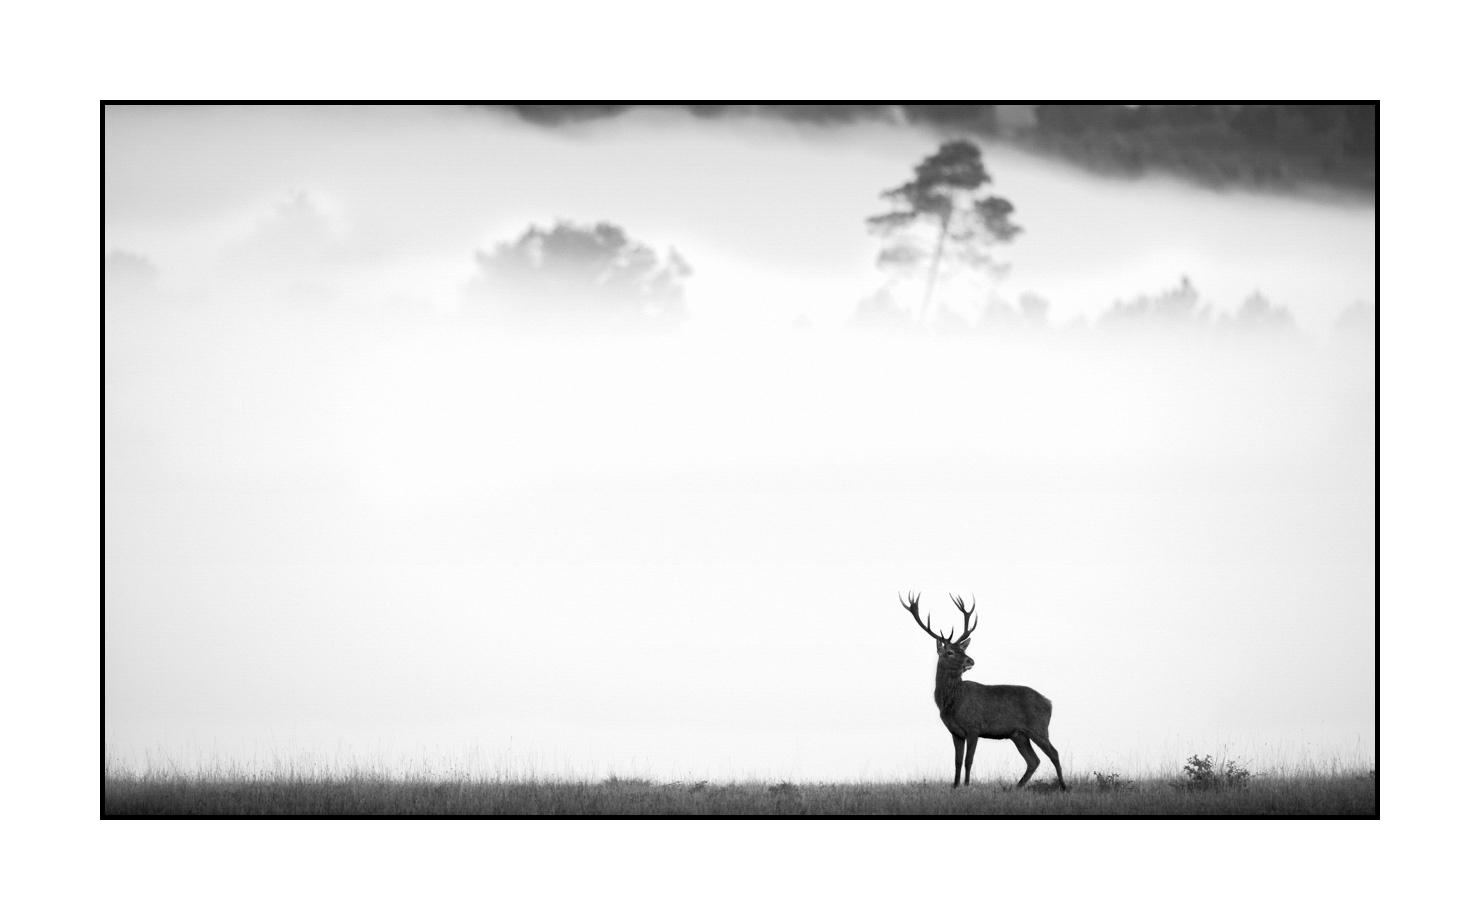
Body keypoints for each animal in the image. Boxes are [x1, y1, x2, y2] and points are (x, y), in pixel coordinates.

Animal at [899, 592, 1067, 790]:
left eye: (962, 649)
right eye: (950, 652)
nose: (970, 661)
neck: (952, 704)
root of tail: (1049, 702)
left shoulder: (974, 726)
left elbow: (968, 760)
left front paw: (966, 785)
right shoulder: (955, 732)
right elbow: (957, 761)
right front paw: (955, 786)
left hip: (1038, 726)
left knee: (1054, 753)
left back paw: (1063, 787)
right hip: (1018, 734)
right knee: (1033, 760)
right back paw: (1016, 787)